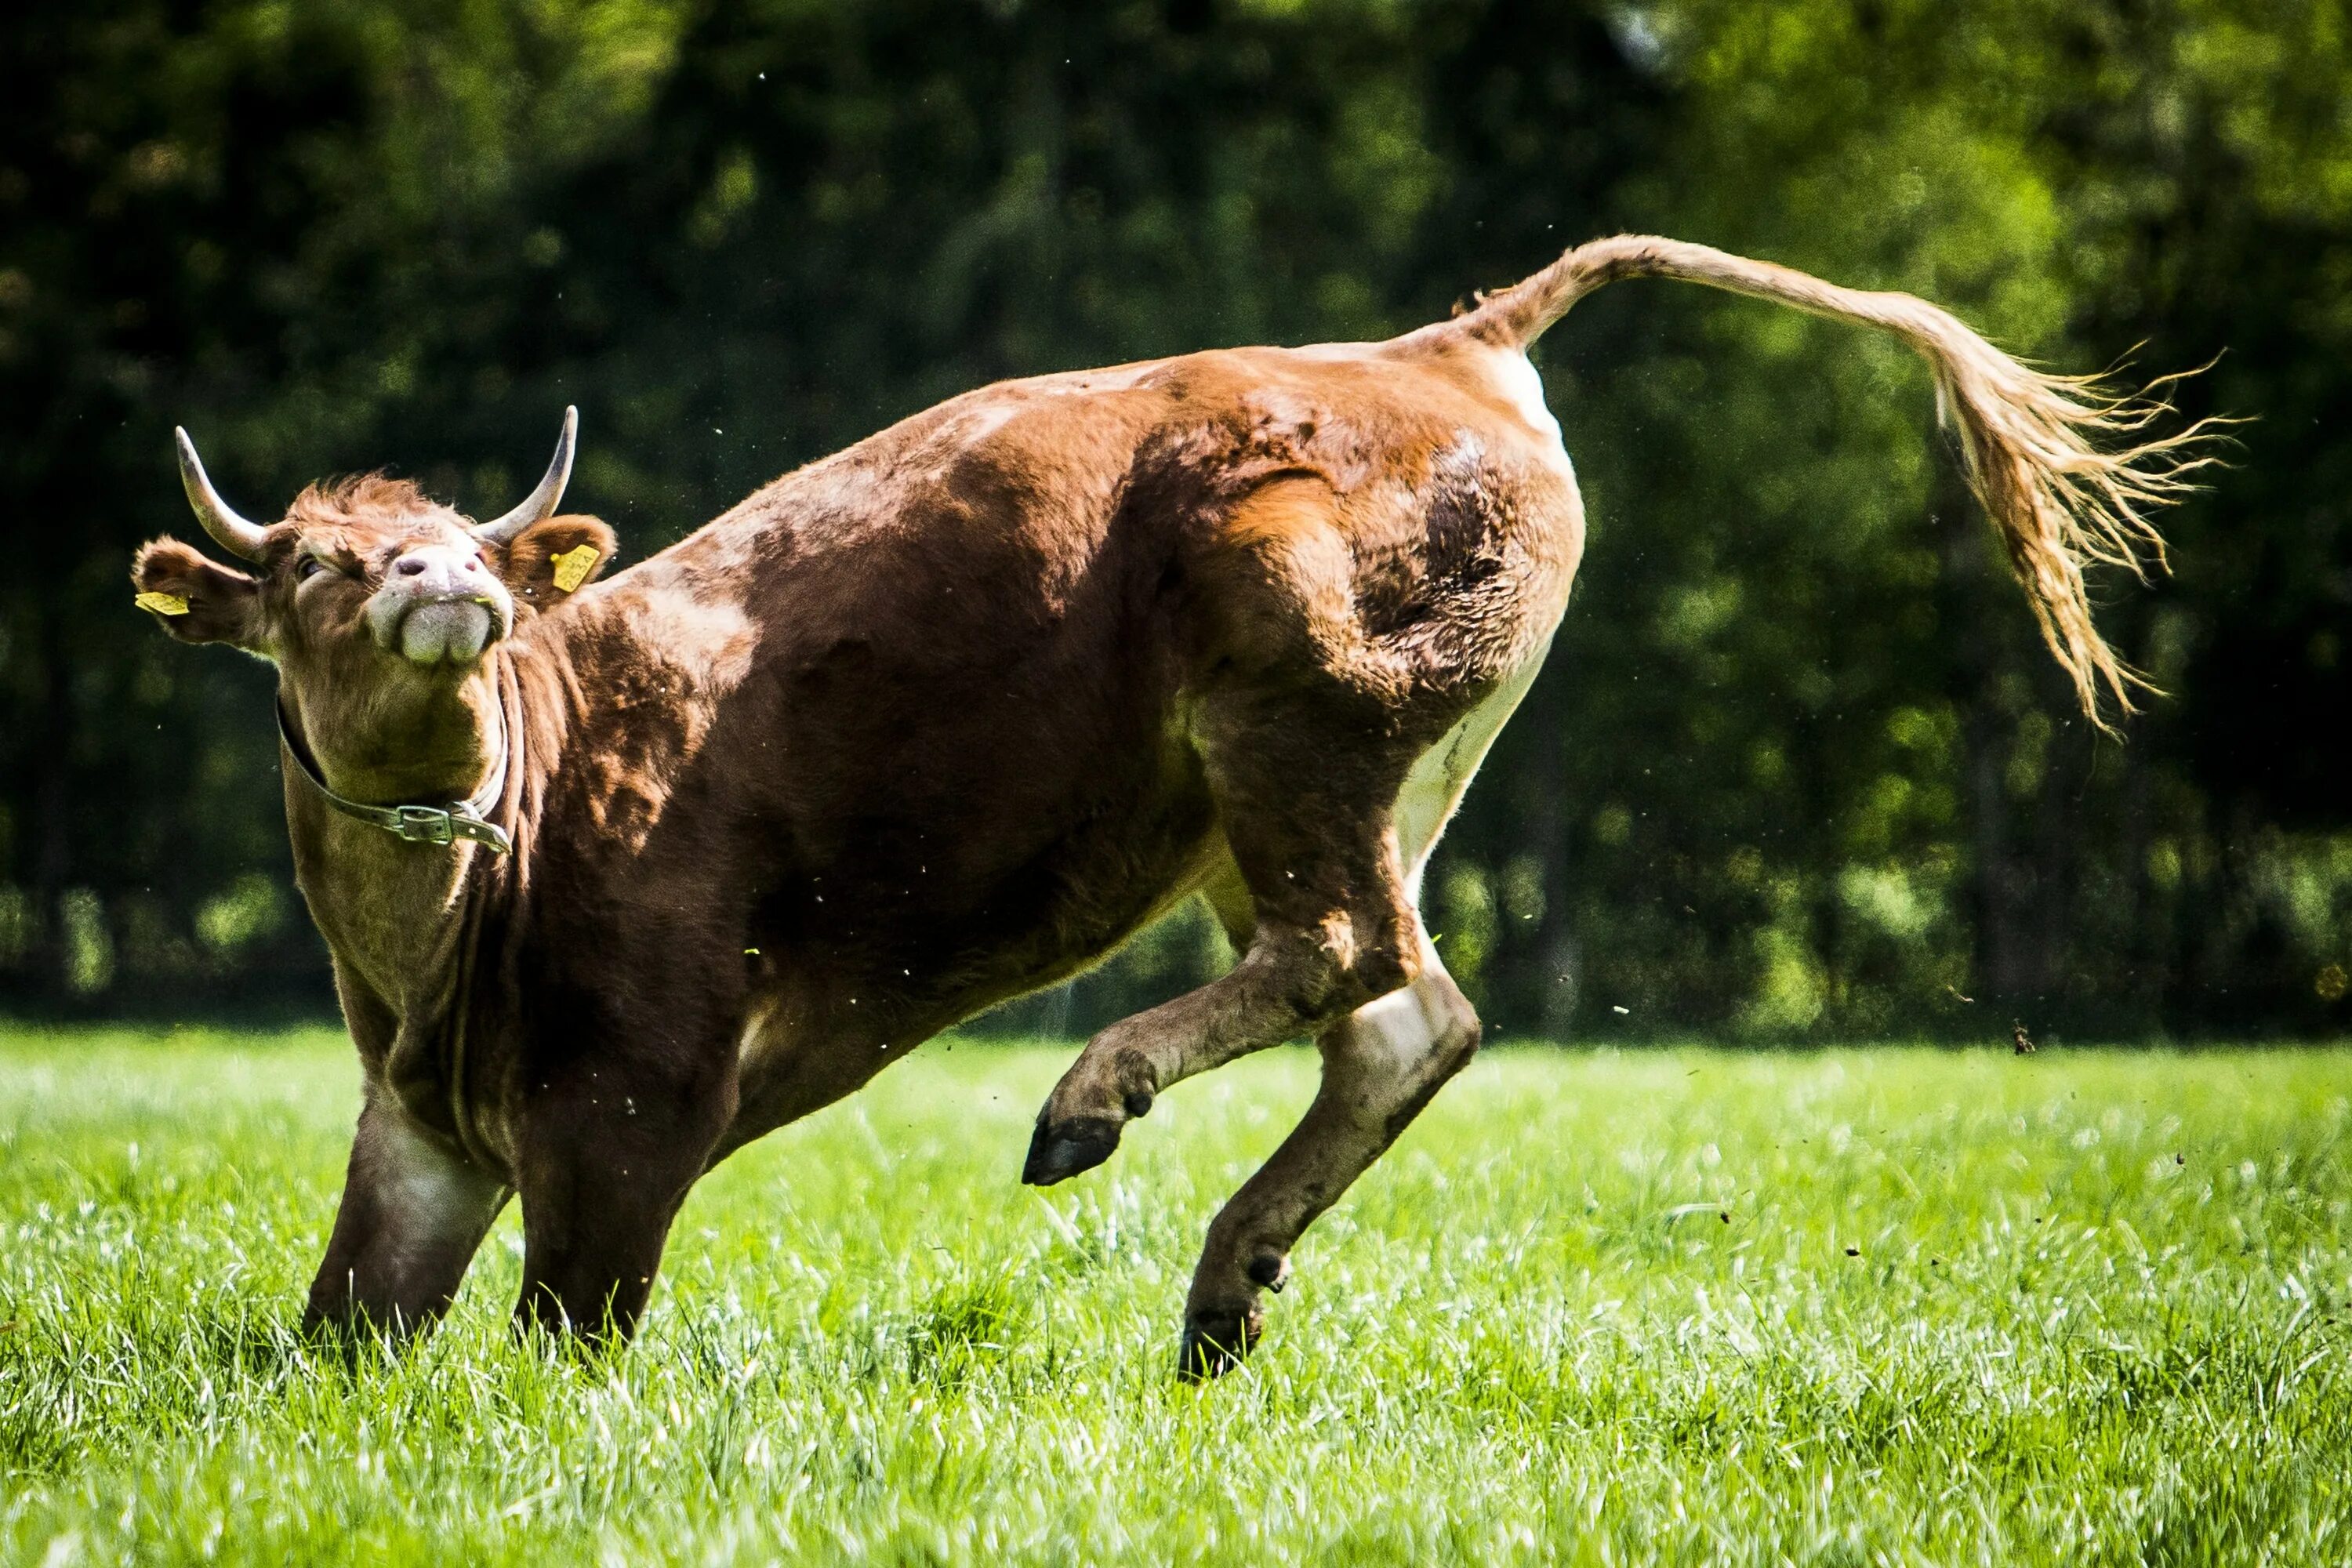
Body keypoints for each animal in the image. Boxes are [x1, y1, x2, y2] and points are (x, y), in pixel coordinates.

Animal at [133, 239, 2220, 1382]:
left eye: (474, 542)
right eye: (312, 561)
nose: (443, 582)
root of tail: (1444, 346)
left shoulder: (626, 1114)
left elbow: (566, 1323)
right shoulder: (419, 1130)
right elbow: (339, 1329)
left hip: (1288, 691)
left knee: (1352, 954)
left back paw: (1092, 1101)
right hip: (1317, 787)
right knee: (1404, 1010)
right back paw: (1223, 1286)